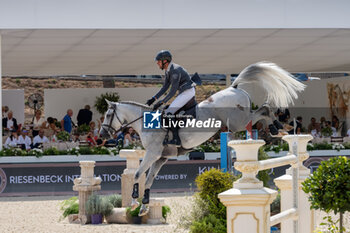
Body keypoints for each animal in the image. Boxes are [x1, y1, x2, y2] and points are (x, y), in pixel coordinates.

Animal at [100, 61, 304, 215]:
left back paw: (277, 127)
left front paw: (134, 202)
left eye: (108, 115)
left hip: (239, 122)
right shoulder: (161, 157)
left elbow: (137, 174)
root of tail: (234, 87)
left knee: (264, 109)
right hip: (239, 122)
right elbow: (149, 179)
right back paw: (277, 128)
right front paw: (143, 207)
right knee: (263, 109)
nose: (102, 135)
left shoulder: (153, 153)